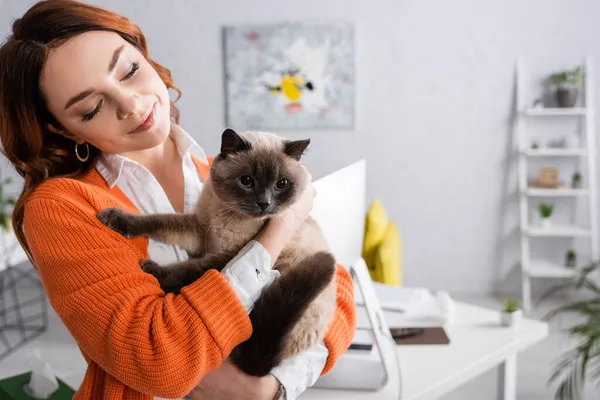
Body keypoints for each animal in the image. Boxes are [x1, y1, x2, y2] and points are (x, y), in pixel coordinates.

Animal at [96, 129, 336, 378]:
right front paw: (114, 218)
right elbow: (159, 222)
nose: (264, 203)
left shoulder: (228, 254)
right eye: (246, 181)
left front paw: (152, 270)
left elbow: (189, 270)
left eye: (281, 184)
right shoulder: (199, 231)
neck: (223, 211)